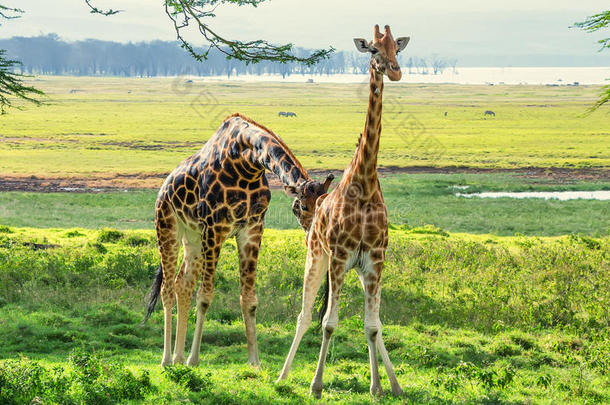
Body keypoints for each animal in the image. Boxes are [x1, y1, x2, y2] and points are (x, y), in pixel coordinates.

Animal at [144, 113, 332, 366]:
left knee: (182, 284)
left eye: (324, 204)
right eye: (300, 207)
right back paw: (167, 360)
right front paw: (194, 359)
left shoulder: (252, 228)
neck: (248, 164)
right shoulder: (214, 227)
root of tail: (163, 188)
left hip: (193, 238)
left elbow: (249, 300)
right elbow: (205, 297)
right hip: (167, 226)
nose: (315, 234)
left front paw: (255, 362)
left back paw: (178, 357)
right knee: (166, 288)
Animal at [276, 23, 408, 396]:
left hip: (359, 272)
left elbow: (373, 326)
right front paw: (316, 385)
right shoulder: (338, 256)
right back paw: (282, 376)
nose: (395, 71)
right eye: (373, 50)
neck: (364, 182)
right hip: (316, 256)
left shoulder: (375, 260)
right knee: (305, 314)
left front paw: (380, 386)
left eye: (398, 49)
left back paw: (392, 384)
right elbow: (328, 323)